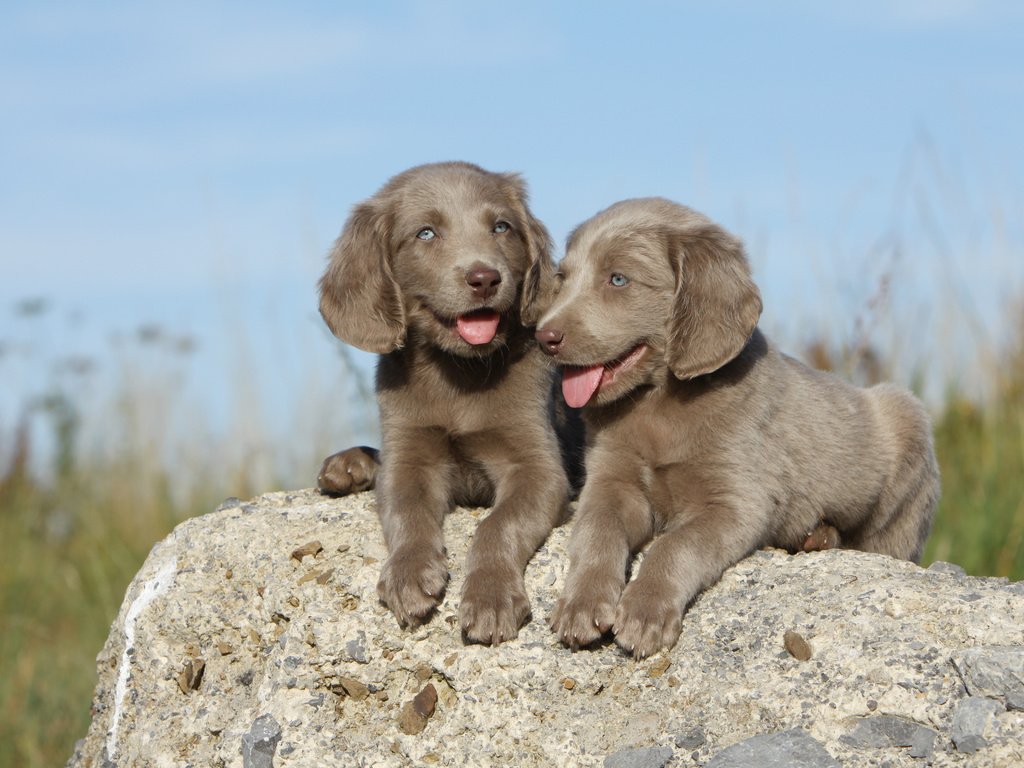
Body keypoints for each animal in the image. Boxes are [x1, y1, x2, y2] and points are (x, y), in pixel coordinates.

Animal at [540, 199, 937, 663]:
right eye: (563, 278)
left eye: (618, 279)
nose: (544, 337)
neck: (659, 404)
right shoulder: (611, 481)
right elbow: (596, 531)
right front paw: (581, 604)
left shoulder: (738, 502)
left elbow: (676, 545)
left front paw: (644, 612)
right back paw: (818, 535)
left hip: (905, 430)